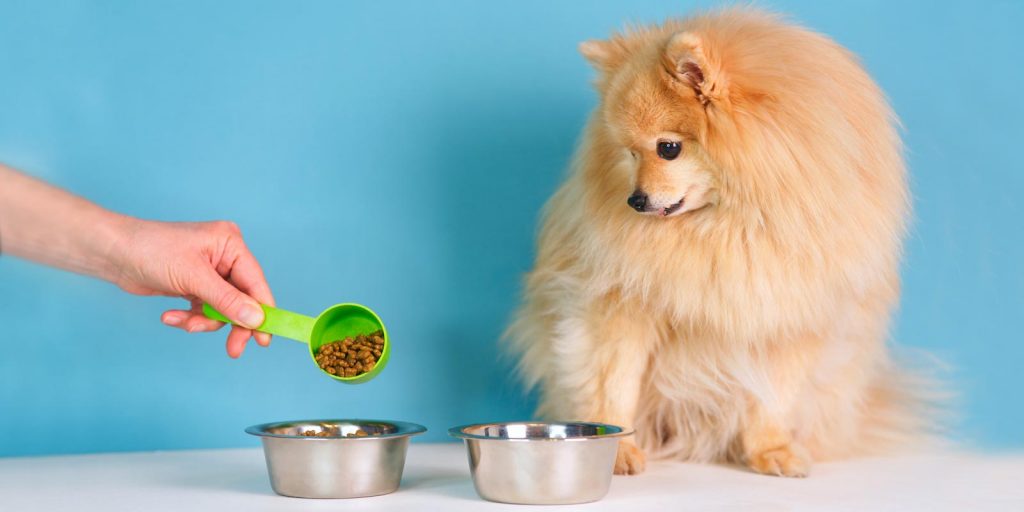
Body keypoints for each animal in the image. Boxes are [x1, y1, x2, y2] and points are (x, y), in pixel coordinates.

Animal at [505, 8, 937, 477]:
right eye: (630, 153)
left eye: (668, 148)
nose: (634, 200)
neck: (731, 224)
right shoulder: (618, 306)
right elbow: (614, 386)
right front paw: (617, 451)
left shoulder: (788, 317)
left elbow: (774, 398)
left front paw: (771, 450)